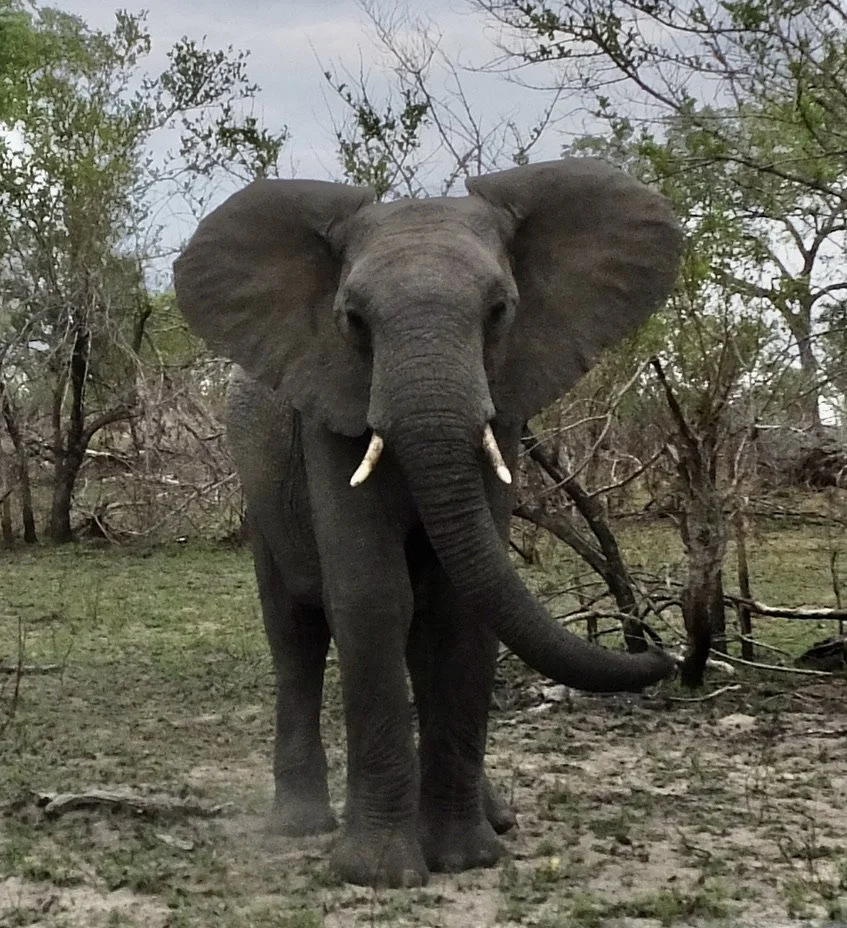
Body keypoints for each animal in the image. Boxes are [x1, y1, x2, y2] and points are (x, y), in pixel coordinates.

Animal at [173, 158, 682, 888]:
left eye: (499, 312)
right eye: (353, 320)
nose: (668, 652)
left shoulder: (505, 404)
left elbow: (462, 609)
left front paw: (466, 859)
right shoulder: (329, 409)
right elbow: (371, 599)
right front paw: (379, 874)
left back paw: (495, 817)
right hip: (259, 490)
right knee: (295, 634)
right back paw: (299, 826)